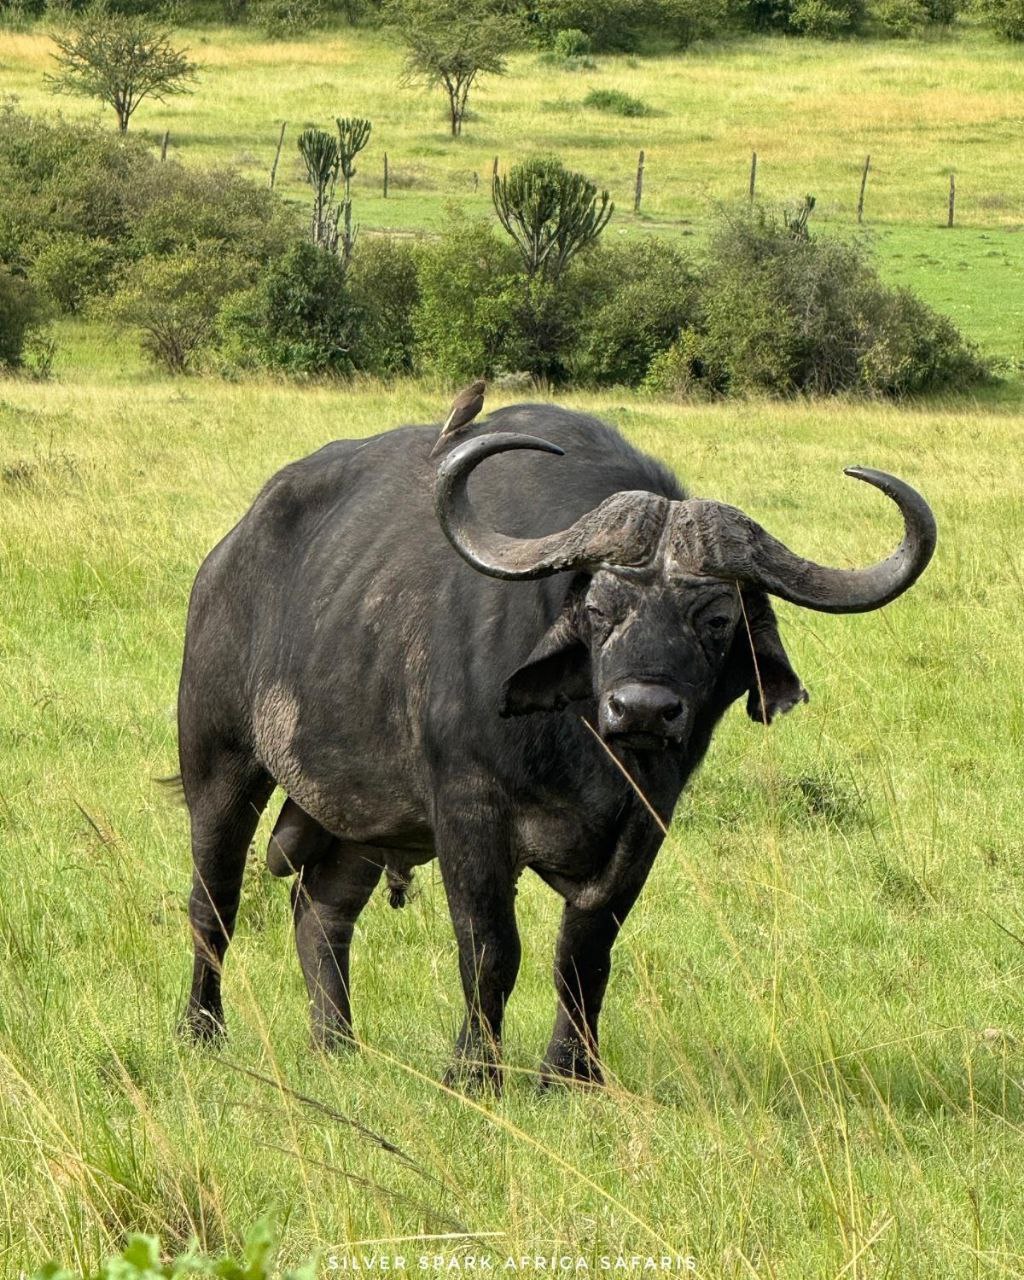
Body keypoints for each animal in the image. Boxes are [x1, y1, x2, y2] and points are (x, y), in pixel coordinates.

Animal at [177, 404, 936, 1085]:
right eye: (599, 609)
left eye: (717, 619)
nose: (643, 709)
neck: (584, 748)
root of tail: (227, 557)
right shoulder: (468, 811)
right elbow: (490, 948)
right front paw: (474, 1072)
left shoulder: (646, 823)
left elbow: (585, 951)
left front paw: (571, 1073)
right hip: (219, 763)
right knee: (214, 904)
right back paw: (202, 1031)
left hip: (365, 819)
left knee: (321, 910)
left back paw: (337, 1044)